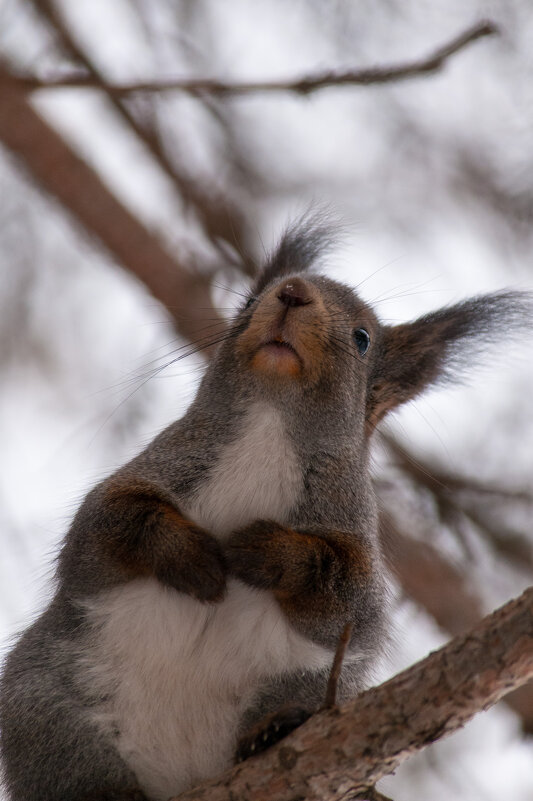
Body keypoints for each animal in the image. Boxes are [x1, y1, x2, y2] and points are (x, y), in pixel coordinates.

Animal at [0, 219, 524, 800]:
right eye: (249, 301)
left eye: (362, 338)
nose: (292, 292)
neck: (271, 418)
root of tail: (183, 773)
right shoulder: (146, 479)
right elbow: (109, 525)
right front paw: (194, 557)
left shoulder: (353, 544)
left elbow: (346, 599)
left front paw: (262, 551)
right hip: (42, 709)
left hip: (306, 686)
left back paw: (275, 730)